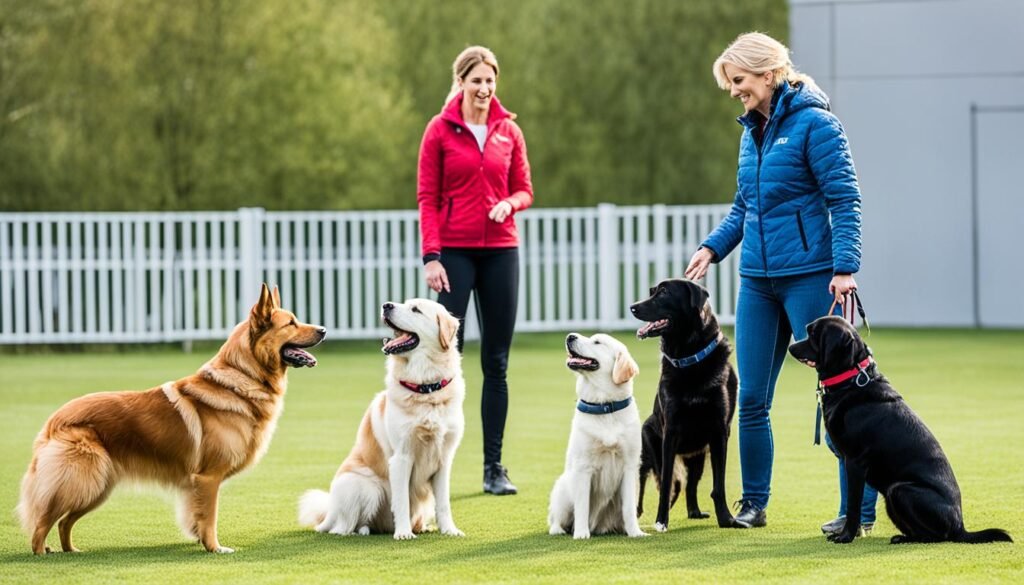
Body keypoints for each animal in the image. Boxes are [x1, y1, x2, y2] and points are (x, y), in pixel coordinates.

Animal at [18, 286, 325, 557]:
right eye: (291, 323)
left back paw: (70, 551)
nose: (323, 330)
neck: (243, 377)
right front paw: (214, 548)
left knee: (63, 522)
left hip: (97, 487)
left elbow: (196, 516)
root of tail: (54, 420)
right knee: (42, 522)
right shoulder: (208, 479)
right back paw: (42, 553)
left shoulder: (194, 485)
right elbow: (210, 518)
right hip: (83, 482)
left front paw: (199, 539)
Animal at [299, 299, 466, 540]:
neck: (425, 388)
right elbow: (402, 501)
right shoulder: (401, 458)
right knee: (343, 526)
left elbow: (443, 503)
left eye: (415, 309)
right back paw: (358, 531)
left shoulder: (444, 459)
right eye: (404, 303)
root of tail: (329, 512)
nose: (386, 305)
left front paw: (449, 530)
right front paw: (404, 533)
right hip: (364, 487)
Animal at [548, 333, 643, 540]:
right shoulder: (583, 467)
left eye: (597, 342)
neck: (605, 406)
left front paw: (635, 532)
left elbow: (629, 509)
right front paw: (581, 534)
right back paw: (560, 529)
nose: (570, 336)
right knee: (556, 518)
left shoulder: (630, 466)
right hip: (564, 488)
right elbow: (582, 506)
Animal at [626, 278, 741, 532]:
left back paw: (694, 512)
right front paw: (661, 521)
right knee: (649, 480)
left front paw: (726, 519)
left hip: (698, 455)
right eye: (652, 291)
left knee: (690, 484)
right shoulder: (670, 432)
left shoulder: (719, 432)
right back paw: (637, 513)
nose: (632, 306)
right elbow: (667, 482)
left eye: (664, 293)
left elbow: (718, 486)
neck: (690, 359)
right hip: (649, 448)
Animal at [786, 315, 1011, 545]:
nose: (790, 347)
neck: (852, 379)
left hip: (899, 489)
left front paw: (846, 536)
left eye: (813, 334)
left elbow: (853, 505)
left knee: (936, 536)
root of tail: (960, 526)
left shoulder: (855, 462)